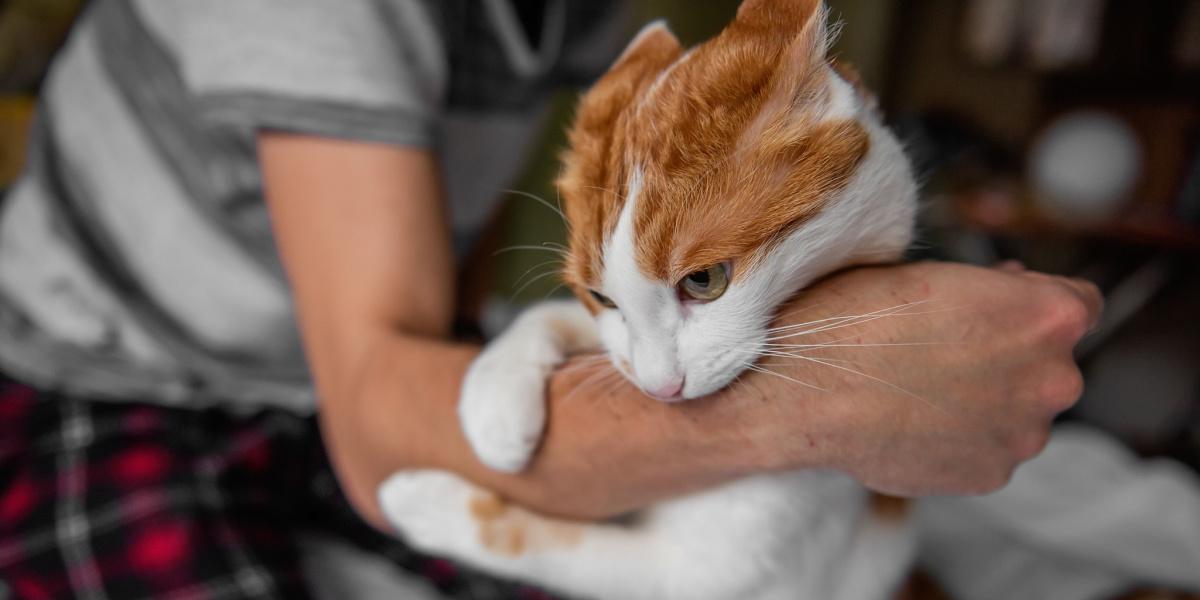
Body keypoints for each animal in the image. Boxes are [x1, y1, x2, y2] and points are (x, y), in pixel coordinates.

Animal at [381, 2, 916, 597]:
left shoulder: (704, 575)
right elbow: (558, 320)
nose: (662, 389)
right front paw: (494, 399)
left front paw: (426, 503)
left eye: (704, 280)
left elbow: (546, 545)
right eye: (600, 297)